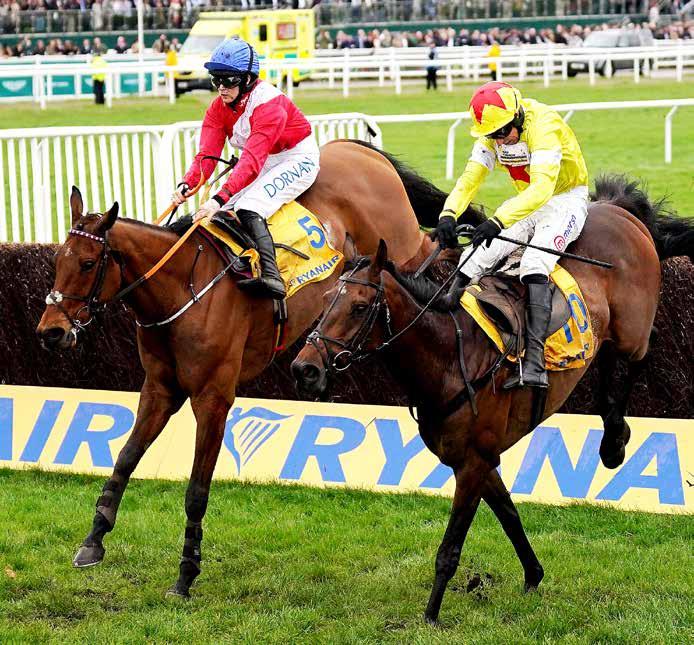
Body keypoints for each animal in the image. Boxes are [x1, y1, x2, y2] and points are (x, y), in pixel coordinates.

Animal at [35, 139, 482, 599]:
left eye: (88, 264)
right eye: (58, 260)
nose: (51, 332)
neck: (182, 288)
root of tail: (350, 147)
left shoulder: (213, 397)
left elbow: (196, 489)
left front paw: (186, 573)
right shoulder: (160, 387)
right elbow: (125, 458)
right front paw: (92, 541)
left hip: (401, 242)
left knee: (438, 251)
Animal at [291, 175, 694, 624]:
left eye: (360, 307)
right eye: (328, 299)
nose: (305, 369)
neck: (453, 356)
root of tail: (617, 209)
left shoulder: (473, 463)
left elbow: (449, 549)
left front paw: (431, 616)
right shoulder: (478, 459)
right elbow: (510, 514)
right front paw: (533, 576)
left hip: (631, 329)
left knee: (643, 348)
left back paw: (614, 441)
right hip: (609, 331)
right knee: (606, 356)